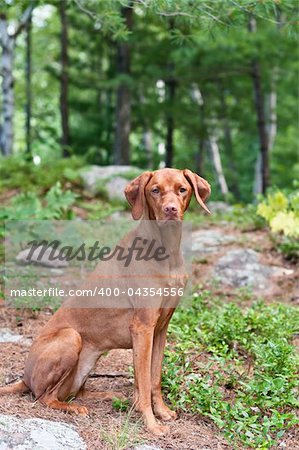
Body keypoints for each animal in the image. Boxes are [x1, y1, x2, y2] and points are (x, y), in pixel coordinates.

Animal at [0, 167, 211, 434]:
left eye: (182, 189)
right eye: (155, 190)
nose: (170, 209)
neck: (167, 251)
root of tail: (24, 377)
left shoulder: (160, 329)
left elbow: (153, 378)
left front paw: (161, 412)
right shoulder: (142, 327)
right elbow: (143, 382)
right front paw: (151, 424)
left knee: (75, 392)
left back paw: (108, 397)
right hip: (70, 337)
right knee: (45, 397)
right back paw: (74, 408)